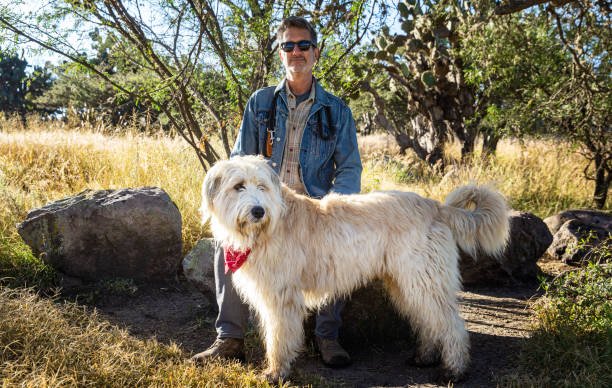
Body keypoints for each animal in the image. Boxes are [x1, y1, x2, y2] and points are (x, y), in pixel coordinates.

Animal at [200, 155, 506, 382]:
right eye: (238, 186)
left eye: (262, 186)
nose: (258, 211)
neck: (272, 225)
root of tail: (435, 206)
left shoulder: (281, 297)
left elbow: (279, 337)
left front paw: (277, 372)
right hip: (406, 282)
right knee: (429, 321)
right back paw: (425, 357)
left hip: (423, 279)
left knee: (452, 324)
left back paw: (454, 369)